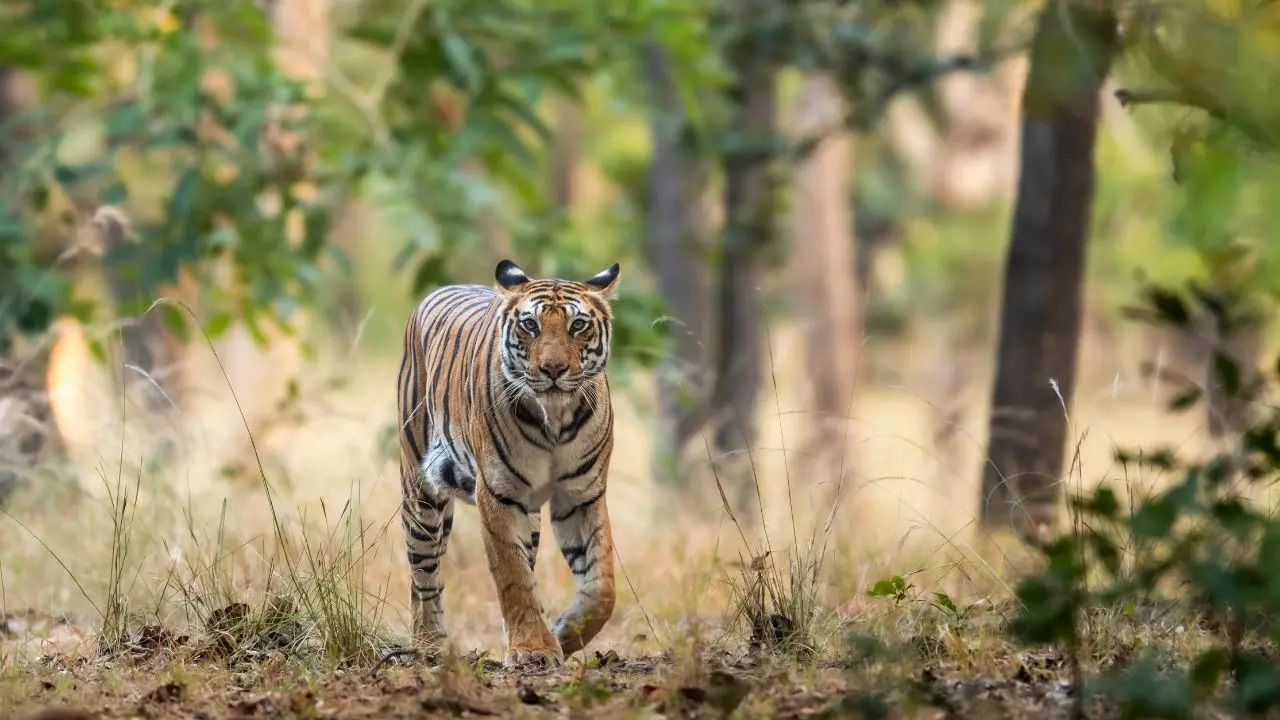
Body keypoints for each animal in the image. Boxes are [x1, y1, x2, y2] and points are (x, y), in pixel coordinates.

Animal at [396, 258, 622, 666]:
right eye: (530, 325)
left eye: (578, 325)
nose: (553, 369)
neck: (555, 418)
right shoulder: (499, 493)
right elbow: (512, 575)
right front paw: (533, 648)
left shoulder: (581, 496)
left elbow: (602, 587)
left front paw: (563, 634)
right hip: (420, 494)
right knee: (422, 574)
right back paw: (428, 643)